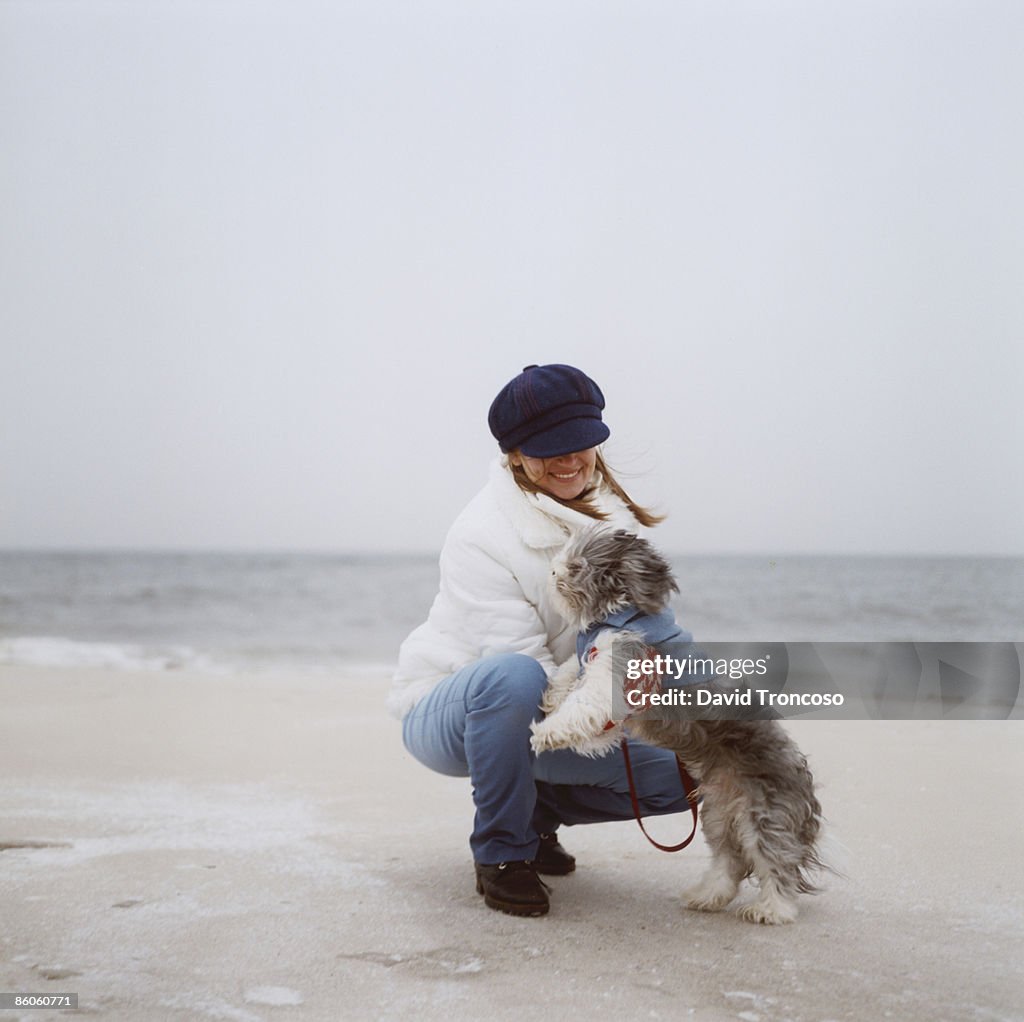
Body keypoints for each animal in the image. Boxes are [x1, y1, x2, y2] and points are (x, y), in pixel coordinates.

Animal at [528, 528, 831, 929]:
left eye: (576, 566)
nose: (550, 572)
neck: (625, 615)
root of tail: (801, 774)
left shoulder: (621, 671)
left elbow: (586, 701)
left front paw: (549, 731)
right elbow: (571, 675)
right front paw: (552, 695)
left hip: (764, 814)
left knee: (776, 861)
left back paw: (772, 909)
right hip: (720, 816)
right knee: (729, 861)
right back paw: (707, 896)